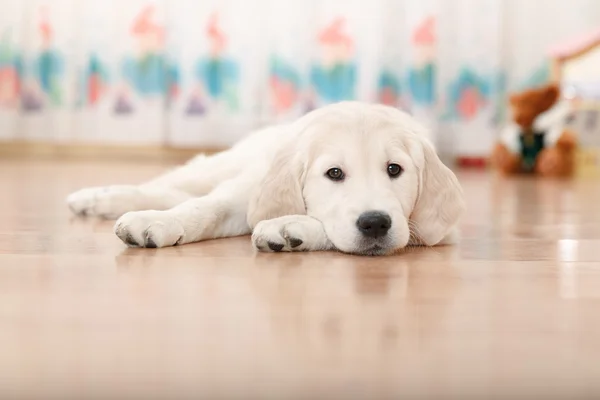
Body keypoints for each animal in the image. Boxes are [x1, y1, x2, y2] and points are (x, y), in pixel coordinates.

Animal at [68, 101, 466, 256]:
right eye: (334, 173)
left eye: (394, 169)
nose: (376, 223)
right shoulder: (245, 191)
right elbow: (205, 207)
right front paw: (162, 224)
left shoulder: (432, 231)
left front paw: (290, 229)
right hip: (221, 165)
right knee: (169, 187)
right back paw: (95, 198)